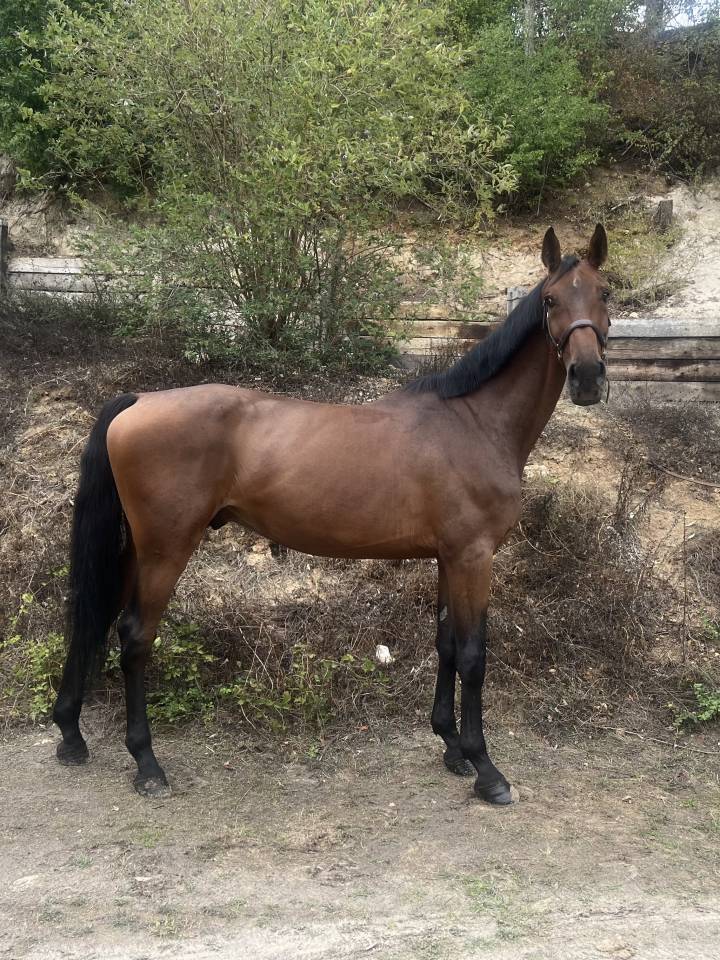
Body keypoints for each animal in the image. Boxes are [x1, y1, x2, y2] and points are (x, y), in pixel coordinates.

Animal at [53, 225, 610, 804]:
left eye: (606, 293)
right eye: (550, 301)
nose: (588, 376)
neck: (474, 421)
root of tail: (139, 400)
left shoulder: (448, 558)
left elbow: (446, 645)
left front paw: (452, 748)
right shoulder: (473, 558)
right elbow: (473, 656)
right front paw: (486, 769)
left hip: (137, 549)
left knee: (94, 617)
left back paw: (71, 734)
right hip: (167, 549)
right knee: (135, 636)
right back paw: (147, 763)